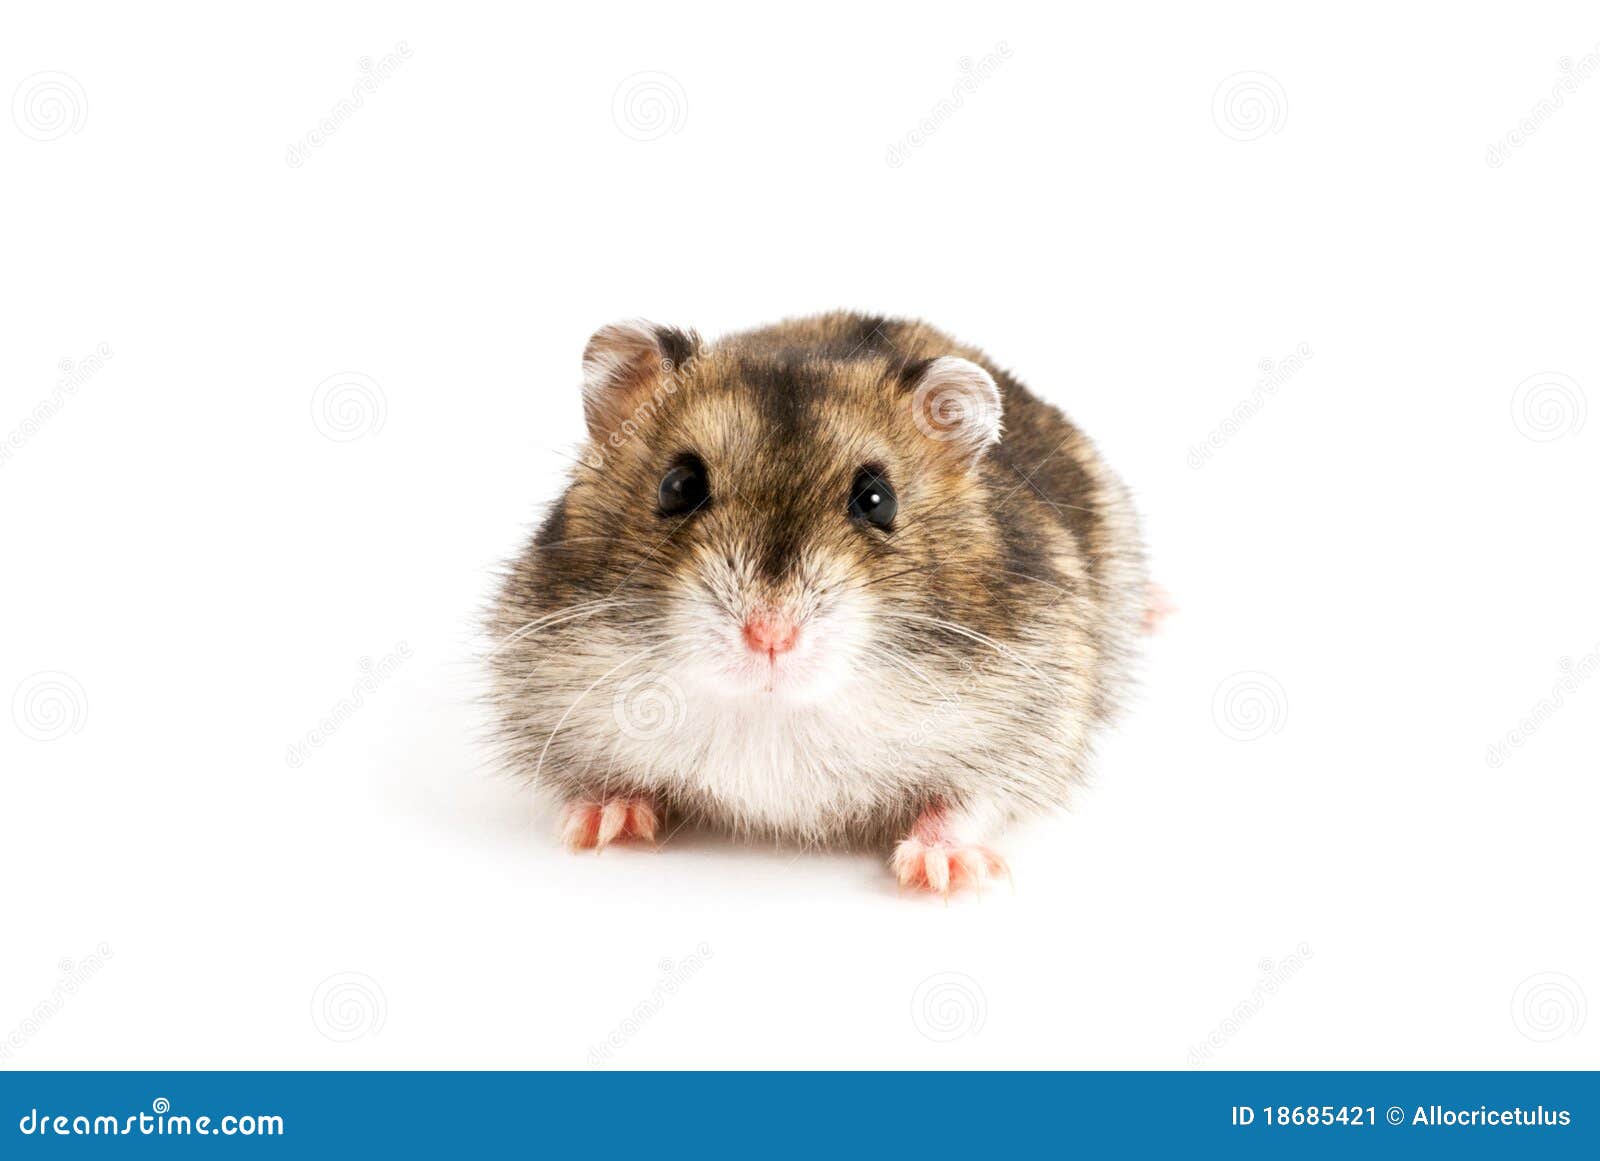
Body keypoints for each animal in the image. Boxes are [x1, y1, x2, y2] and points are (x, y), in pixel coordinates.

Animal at [489, 312, 1154, 894]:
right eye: (678, 486)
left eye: (878, 500)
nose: (770, 636)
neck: (772, 711)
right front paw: (596, 825)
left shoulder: (1030, 721)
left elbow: (969, 800)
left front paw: (941, 874)